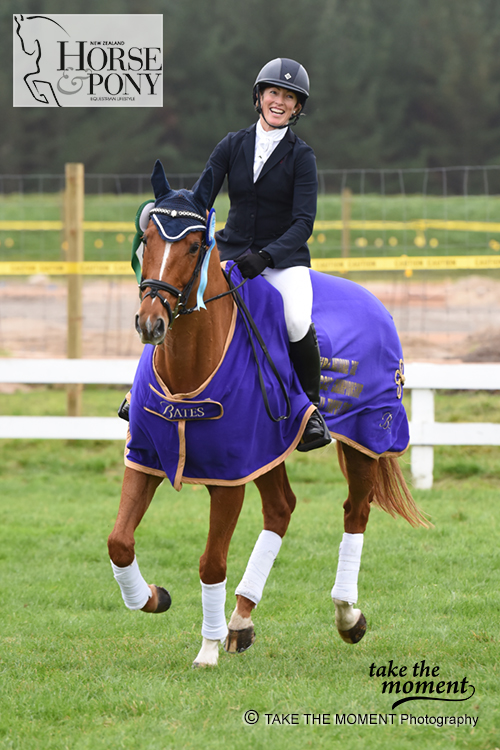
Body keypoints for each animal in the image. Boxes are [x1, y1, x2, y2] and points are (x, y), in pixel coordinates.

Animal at [107, 163, 428, 668]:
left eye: (195, 246)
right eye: (148, 239)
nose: (150, 322)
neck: (189, 366)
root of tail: (375, 302)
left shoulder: (230, 474)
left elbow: (211, 562)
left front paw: (206, 650)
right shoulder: (146, 457)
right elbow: (120, 542)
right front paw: (155, 598)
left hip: (366, 437)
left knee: (355, 511)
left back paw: (347, 615)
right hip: (271, 447)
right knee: (281, 509)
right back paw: (241, 619)